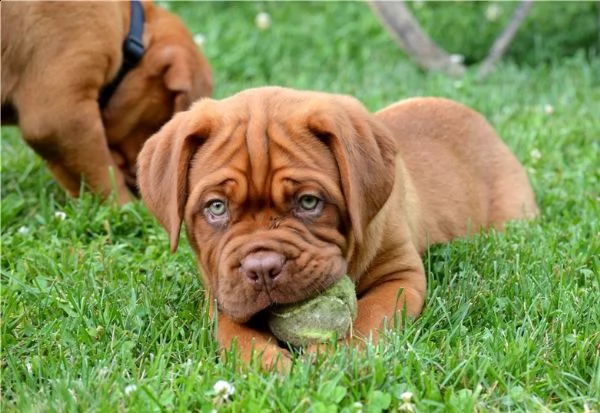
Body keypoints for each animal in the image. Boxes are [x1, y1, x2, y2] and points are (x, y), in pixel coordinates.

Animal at [137, 85, 540, 368]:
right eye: (216, 208)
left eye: (309, 202)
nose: (263, 269)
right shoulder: (220, 295)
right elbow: (234, 335)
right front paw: (269, 366)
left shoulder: (400, 276)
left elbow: (370, 316)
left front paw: (334, 357)